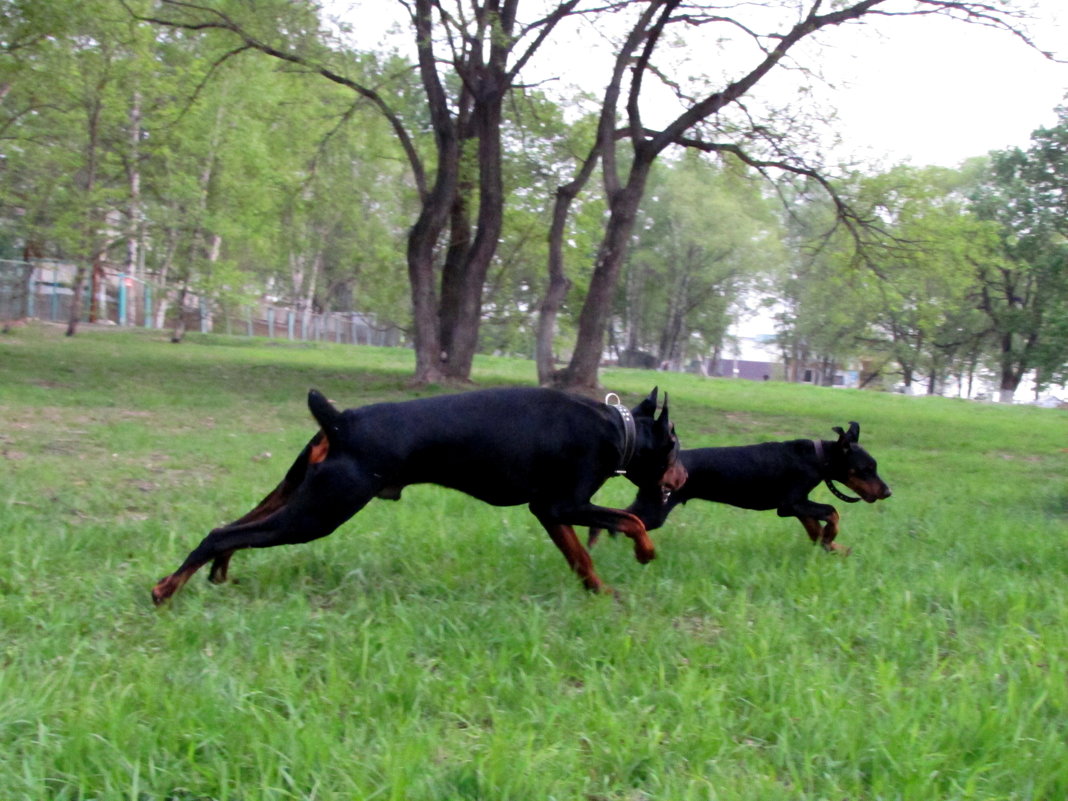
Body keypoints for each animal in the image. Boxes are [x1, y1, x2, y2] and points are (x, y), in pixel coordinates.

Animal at [152, 386, 683, 606]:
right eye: (675, 444)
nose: (681, 474)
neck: (619, 430)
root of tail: (341, 421)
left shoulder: (549, 513)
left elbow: (580, 559)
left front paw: (599, 592)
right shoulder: (562, 505)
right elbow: (630, 520)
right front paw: (645, 552)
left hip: (294, 493)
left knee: (228, 530)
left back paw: (211, 575)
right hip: (319, 512)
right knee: (225, 534)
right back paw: (165, 592)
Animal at [589, 420, 888, 559]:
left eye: (874, 466)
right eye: (866, 469)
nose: (887, 492)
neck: (816, 457)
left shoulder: (798, 505)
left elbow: (814, 528)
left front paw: (831, 544)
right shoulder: (789, 504)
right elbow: (832, 511)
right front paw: (831, 537)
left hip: (652, 505)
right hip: (656, 509)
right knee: (617, 519)